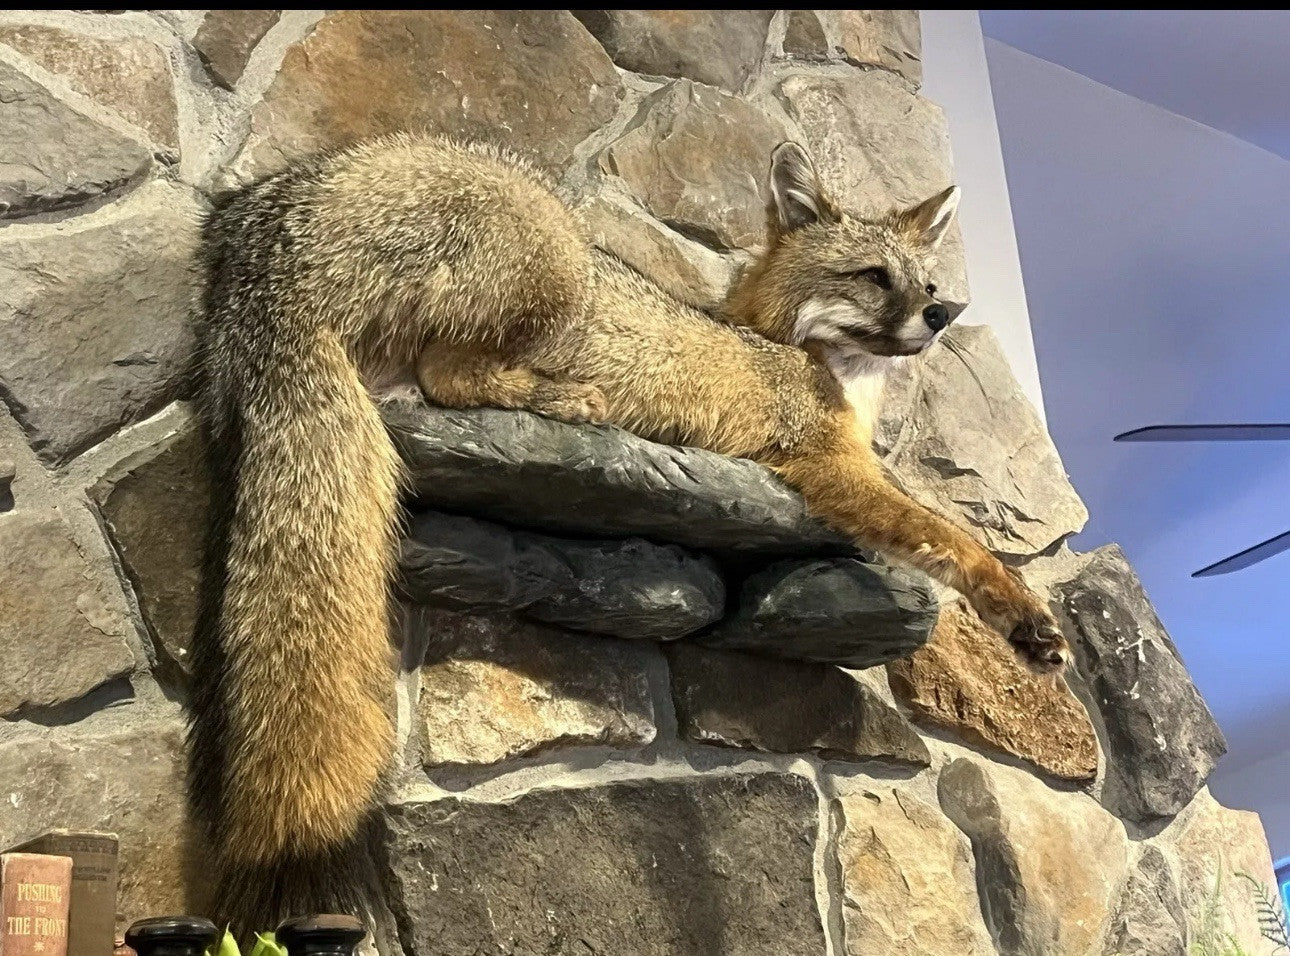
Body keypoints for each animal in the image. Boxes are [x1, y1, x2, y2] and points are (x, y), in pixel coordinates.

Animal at [190, 131, 1069, 936]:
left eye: (925, 282)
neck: (797, 352)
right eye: (873, 278)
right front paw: (1023, 617)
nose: (945, 313)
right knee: (448, 377)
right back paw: (567, 398)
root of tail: (275, 228)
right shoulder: (829, 469)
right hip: (553, 245)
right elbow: (952, 535)